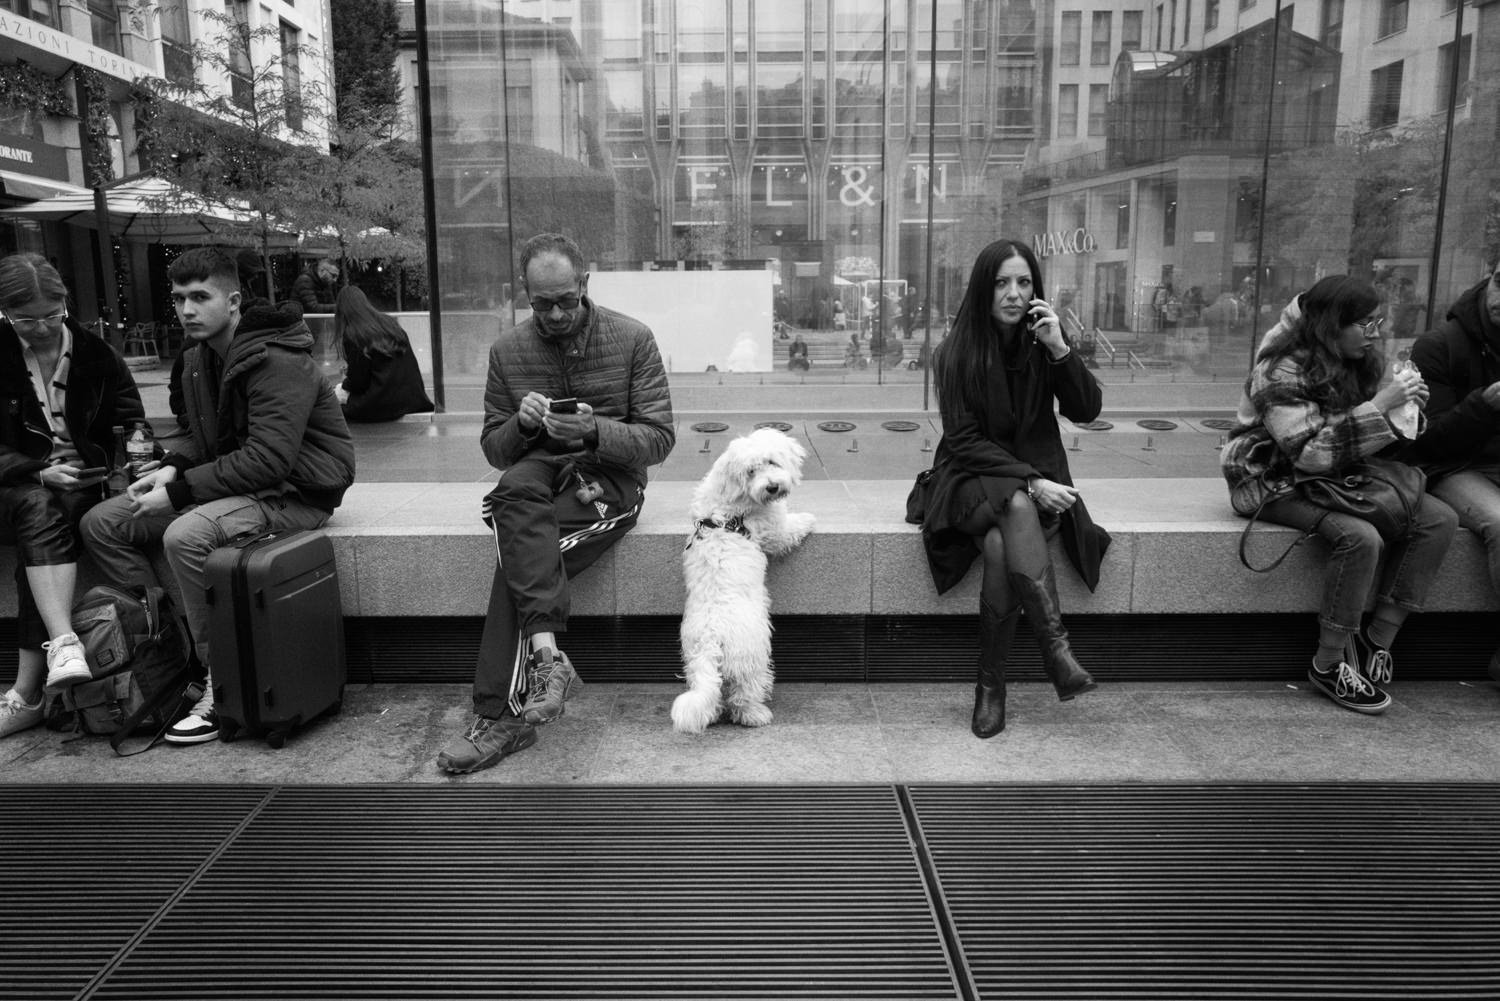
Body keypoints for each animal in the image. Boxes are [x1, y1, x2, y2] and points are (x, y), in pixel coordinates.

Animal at [678, 426, 822, 732]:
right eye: (751, 471)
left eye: (771, 462)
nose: (772, 487)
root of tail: (711, 639)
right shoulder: (774, 529)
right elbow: (788, 529)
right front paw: (807, 518)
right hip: (752, 655)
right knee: (743, 692)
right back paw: (755, 714)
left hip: (695, 662)